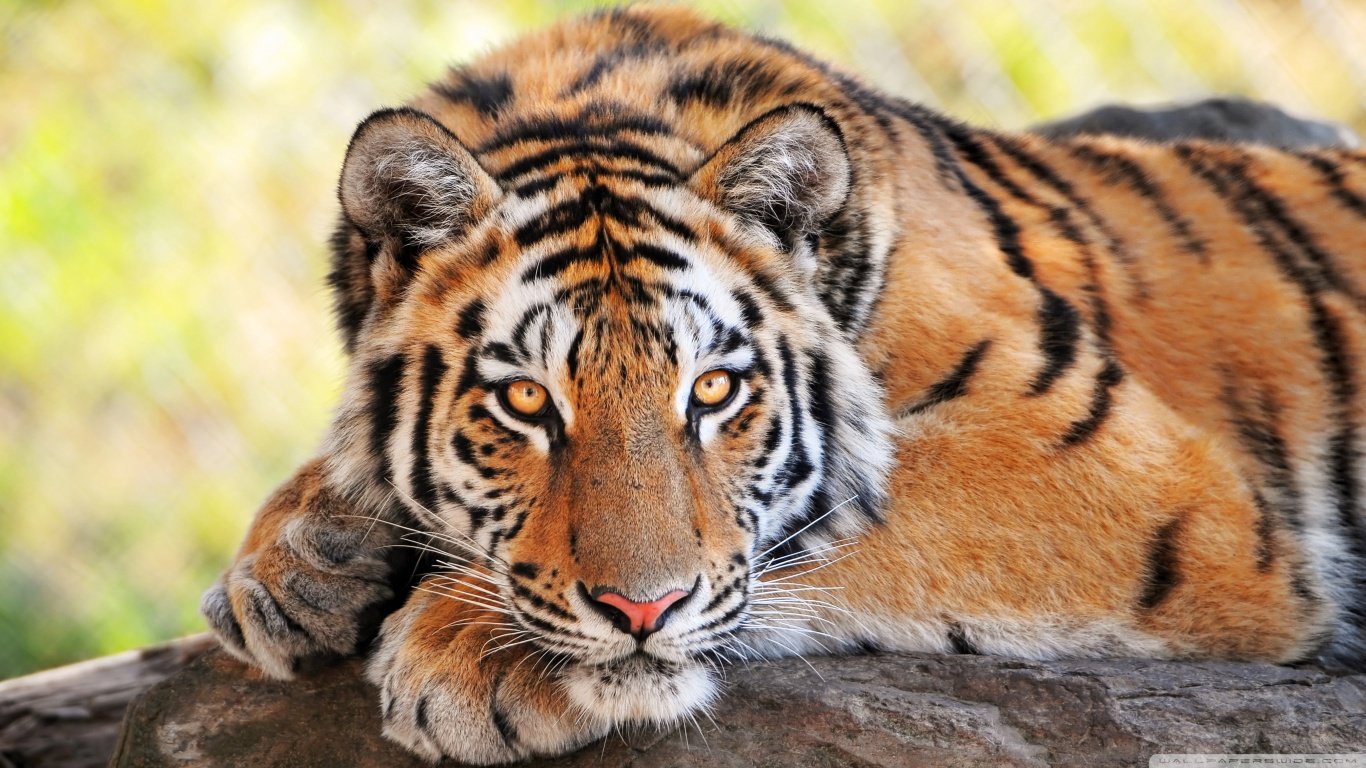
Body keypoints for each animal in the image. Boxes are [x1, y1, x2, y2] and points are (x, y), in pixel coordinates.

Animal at [199, 6, 1366, 764]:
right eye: (526, 402)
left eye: (713, 392)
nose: (640, 610)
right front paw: (296, 560)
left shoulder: (1132, 475)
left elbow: (827, 525)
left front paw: (466, 650)